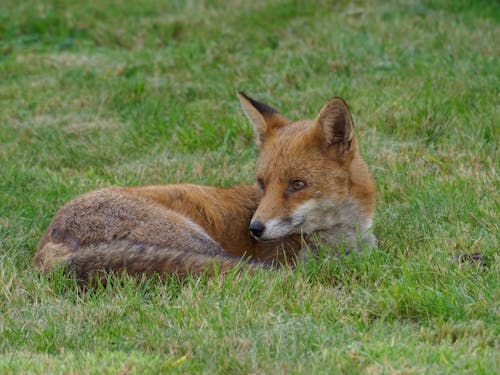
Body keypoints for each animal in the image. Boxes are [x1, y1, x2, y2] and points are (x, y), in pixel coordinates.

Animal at [33, 93, 376, 282]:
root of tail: (49, 244)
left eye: (297, 184)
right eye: (262, 183)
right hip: (199, 243)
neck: (343, 239)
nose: (255, 229)